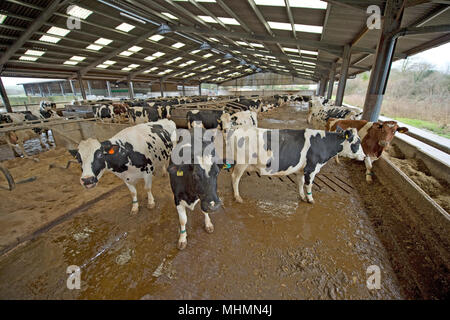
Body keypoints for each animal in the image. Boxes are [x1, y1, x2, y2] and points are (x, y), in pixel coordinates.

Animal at [227, 126, 364, 204]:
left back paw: (233, 191)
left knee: (232, 175)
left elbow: (300, 183)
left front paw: (303, 197)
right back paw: (238, 197)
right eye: (357, 142)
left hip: (236, 162)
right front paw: (310, 199)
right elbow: (309, 185)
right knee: (235, 177)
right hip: (242, 163)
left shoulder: (301, 170)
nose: (364, 156)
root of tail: (236, 130)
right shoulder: (311, 168)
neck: (324, 143)